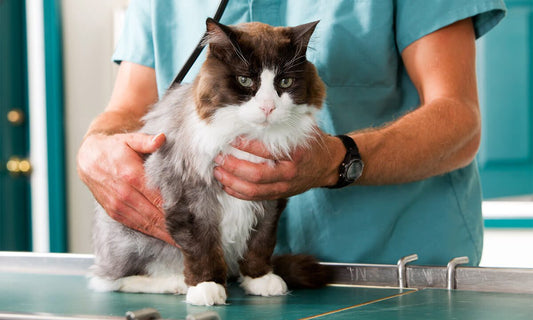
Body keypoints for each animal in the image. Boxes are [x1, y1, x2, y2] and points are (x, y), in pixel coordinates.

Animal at [88, 18, 328, 308]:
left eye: (285, 81)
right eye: (245, 80)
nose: (268, 107)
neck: (249, 135)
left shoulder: (270, 197)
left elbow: (260, 242)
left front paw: (259, 278)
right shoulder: (191, 198)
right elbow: (201, 248)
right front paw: (207, 286)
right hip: (132, 240)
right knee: (111, 280)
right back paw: (174, 283)